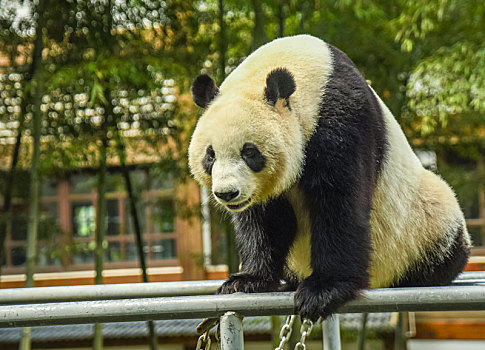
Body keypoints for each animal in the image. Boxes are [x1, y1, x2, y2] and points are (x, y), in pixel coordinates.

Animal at [187, 34, 470, 322]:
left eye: (249, 152)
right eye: (210, 155)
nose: (227, 193)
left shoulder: (341, 119)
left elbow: (339, 201)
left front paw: (322, 291)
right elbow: (264, 220)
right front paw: (245, 280)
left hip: (422, 222)